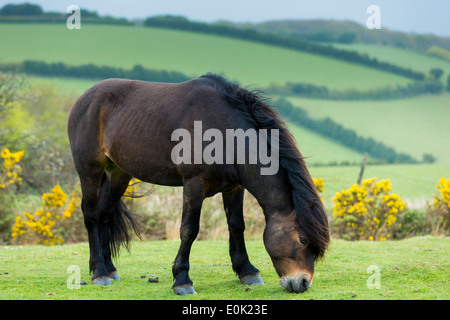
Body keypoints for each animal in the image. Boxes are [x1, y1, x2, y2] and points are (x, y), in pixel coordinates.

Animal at [67, 73, 328, 296]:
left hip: (119, 174)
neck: (224, 132)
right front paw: (182, 280)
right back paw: (99, 272)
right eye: (303, 240)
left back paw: (110, 268)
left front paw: (247, 271)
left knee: (105, 214)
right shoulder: (194, 184)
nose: (302, 283)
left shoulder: (234, 187)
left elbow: (236, 225)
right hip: (89, 171)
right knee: (91, 215)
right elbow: (189, 230)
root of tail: (85, 98)